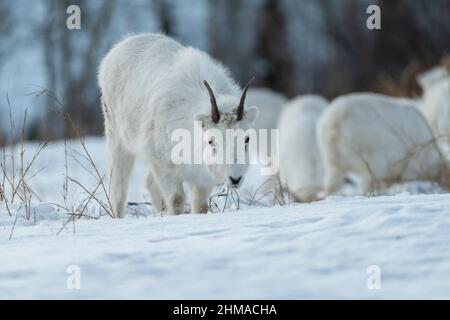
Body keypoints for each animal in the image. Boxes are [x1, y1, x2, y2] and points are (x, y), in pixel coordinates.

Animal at [99, 33, 260, 218]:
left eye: (247, 139)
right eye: (211, 141)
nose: (235, 179)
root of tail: (117, 49)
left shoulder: (202, 179)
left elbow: (201, 207)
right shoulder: (164, 165)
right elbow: (176, 201)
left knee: (150, 184)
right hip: (117, 140)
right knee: (118, 186)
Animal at [316, 92, 446, 195]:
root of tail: (337, 121)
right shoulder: (412, 163)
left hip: (331, 158)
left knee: (331, 181)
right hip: (369, 153)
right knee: (369, 179)